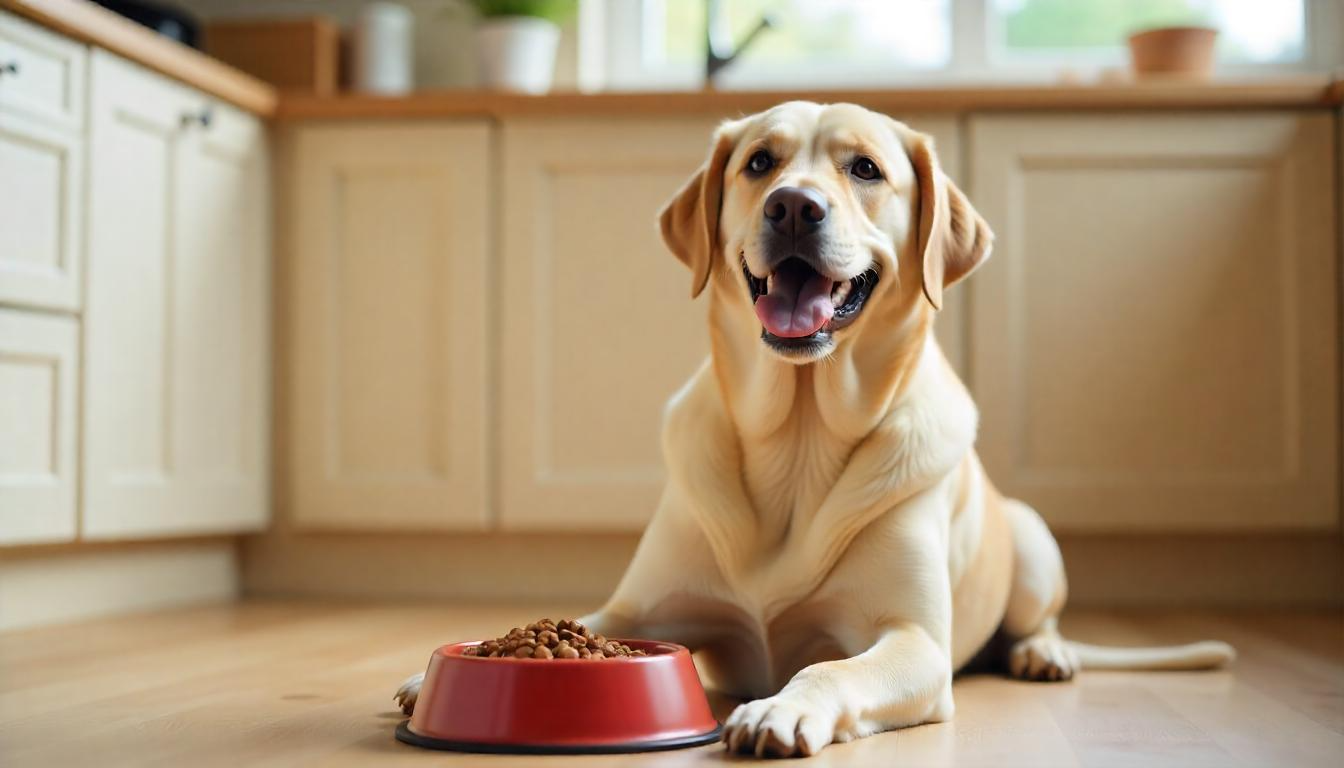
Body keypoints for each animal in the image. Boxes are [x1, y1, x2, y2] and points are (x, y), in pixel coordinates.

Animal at [392, 100, 1231, 758]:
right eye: (759, 163)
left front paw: (781, 708)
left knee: (1038, 618)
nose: (793, 206)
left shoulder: (914, 640)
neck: (798, 435)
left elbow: (829, 666)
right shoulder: (636, 613)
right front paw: (428, 670)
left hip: (1028, 536)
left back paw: (1042, 653)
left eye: (865, 169)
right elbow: (575, 621)